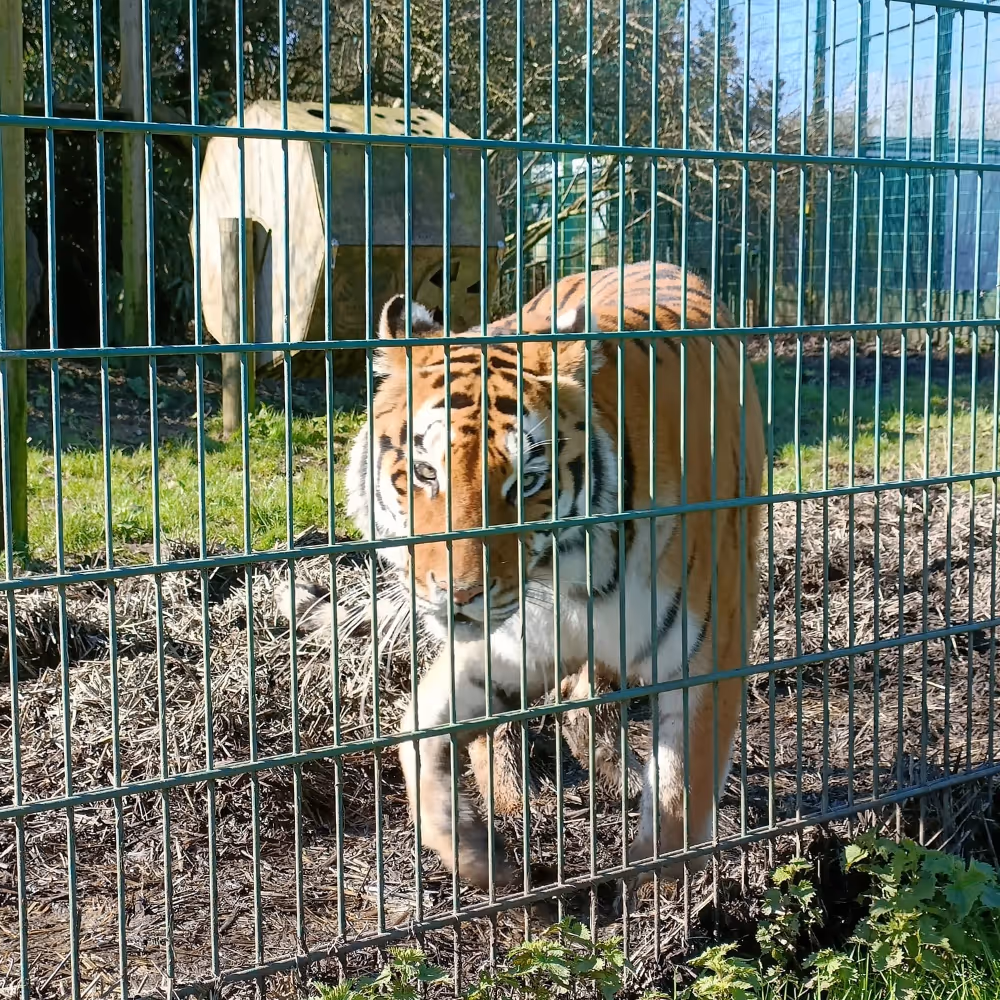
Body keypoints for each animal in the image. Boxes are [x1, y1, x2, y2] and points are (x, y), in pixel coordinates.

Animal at [318, 262, 765, 891]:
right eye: (425, 473)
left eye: (526, 482)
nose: (458, 595)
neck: (570, 575)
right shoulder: (512, 646)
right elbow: (418, 733)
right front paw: (475, 855)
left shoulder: (706, 654)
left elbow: (680, 794)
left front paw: (650, 896)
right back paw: (515, 805)